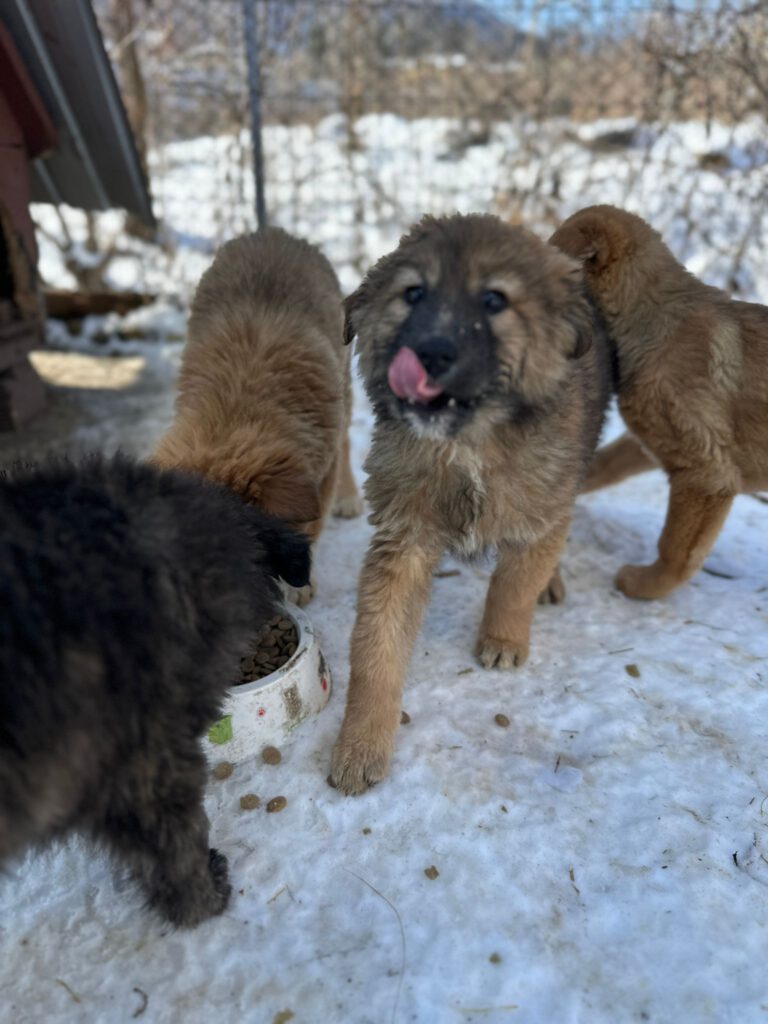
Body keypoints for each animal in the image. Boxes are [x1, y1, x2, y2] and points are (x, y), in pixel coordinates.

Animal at [153, 227, 362, 603]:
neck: (239, 408)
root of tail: (273, 231)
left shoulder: (321, 471)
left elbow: (312, 525)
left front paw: (299, 586)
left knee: (347, 441)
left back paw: (349, 496)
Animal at [329, 213, 612, 794]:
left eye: (494, 300)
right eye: (413, 294)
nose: (432, 354)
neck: (468, 446)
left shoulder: (539, 509)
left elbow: (514, 582)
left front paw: (503, 639)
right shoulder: (402, 538)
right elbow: (375, 649)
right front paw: (360, 746)